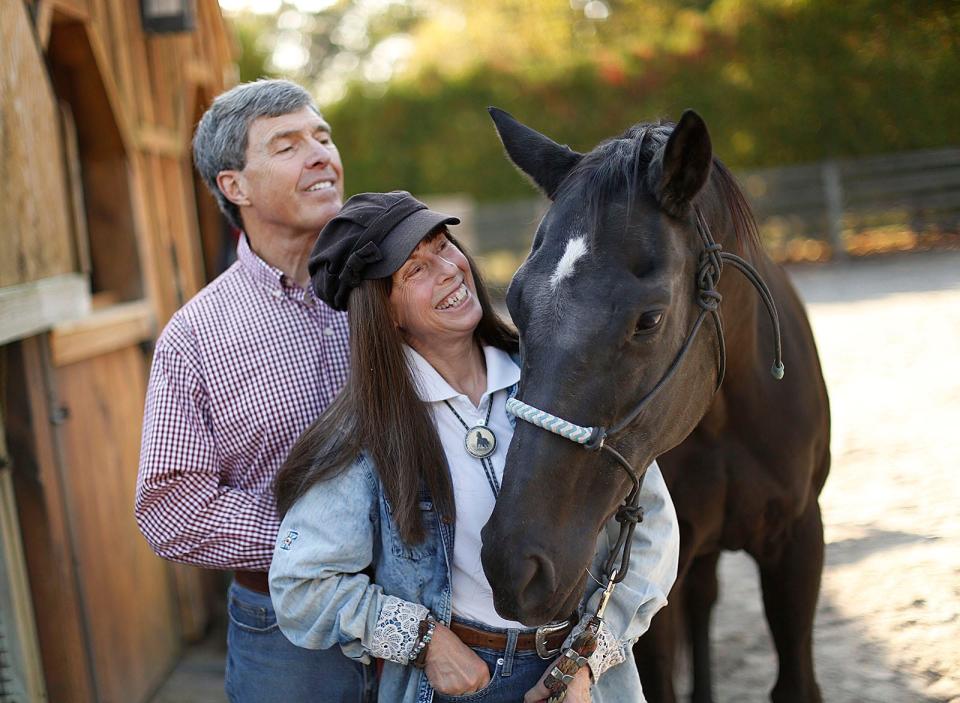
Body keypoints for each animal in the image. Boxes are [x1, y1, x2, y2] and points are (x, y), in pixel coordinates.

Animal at [484, 106, 828, 703]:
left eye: (649, 320)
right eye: (516, 304)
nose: (514, 563)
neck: (727, 420)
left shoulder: (800, 540)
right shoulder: (660, 569)